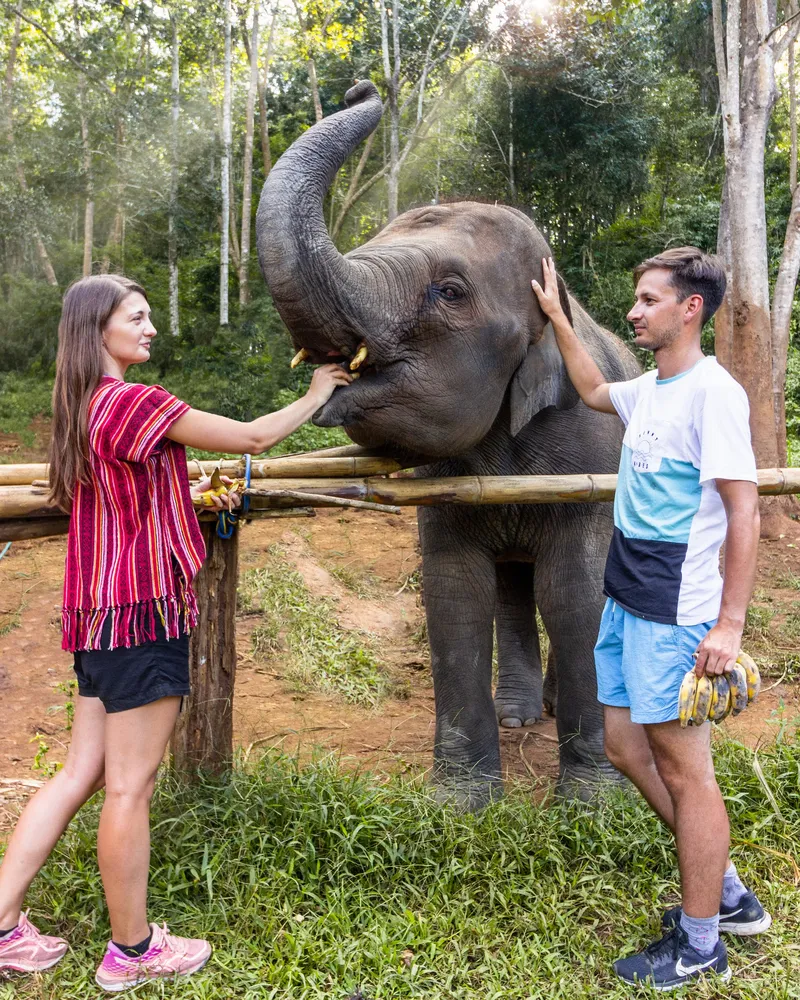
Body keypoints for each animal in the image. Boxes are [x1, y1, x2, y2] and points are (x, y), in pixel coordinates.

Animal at [260, 82, 640, 808]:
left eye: (451, 291)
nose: (362, 87)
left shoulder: (589, 458)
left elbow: (576, 591)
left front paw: (594, 803)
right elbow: (455, 592)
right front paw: (462, 803)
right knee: (515, 588)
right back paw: (522, 715)